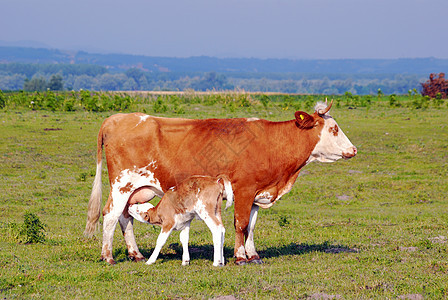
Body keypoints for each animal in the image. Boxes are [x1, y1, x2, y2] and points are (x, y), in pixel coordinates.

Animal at [84, 100, 356, 264]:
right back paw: (108, 256)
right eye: (333, 129)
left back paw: (136, 254)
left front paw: (253, 255)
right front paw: (240, 257)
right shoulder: (244, 189)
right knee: (110, 216)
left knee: (125, 217)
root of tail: (117, 118)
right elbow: (240, 224)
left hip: (136, 190)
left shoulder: (256, 194)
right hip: (122, 185)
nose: (353, 150)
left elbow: (251, 226)